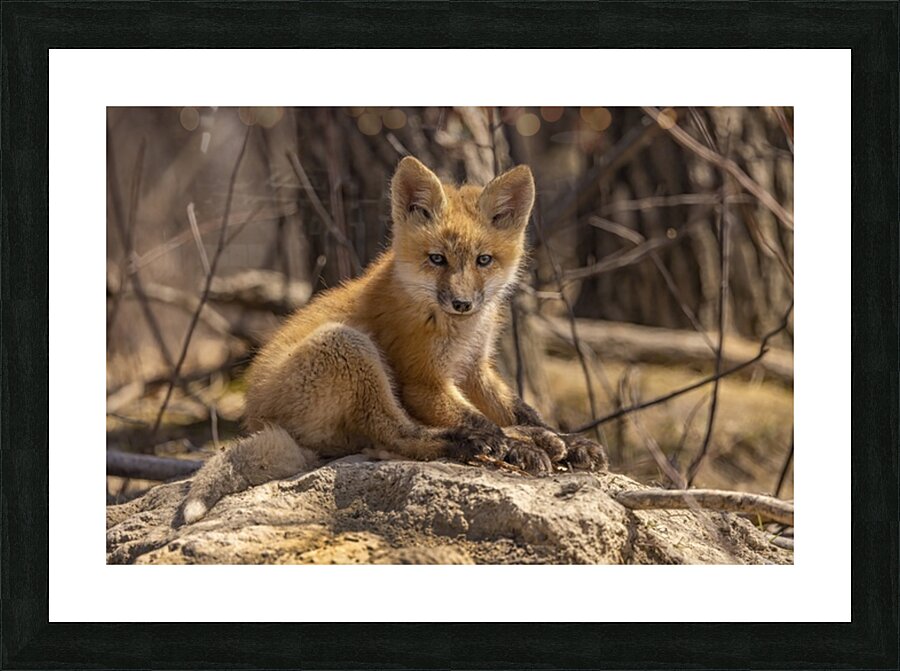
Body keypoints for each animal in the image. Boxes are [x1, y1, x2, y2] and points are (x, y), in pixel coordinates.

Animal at [182, 156, 607, 524]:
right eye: (437, 259)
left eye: (483, 260)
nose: (463, 303)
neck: (458, 330)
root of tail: (256, 420)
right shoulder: (423, 381)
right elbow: (484, 421)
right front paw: (521, 446)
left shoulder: (474, 369)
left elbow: (520, 411)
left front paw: (564, 438)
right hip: (349, 348)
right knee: (398, 438)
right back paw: (476, 444)